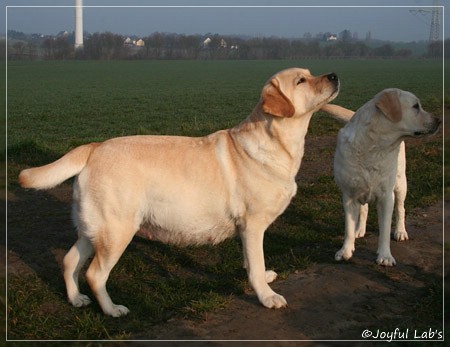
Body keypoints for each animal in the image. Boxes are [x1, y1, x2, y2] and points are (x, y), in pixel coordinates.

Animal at [18, 68, 344, 318]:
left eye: (311, 73)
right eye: (301, 80)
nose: (334, 75)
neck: (279, 143)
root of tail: (94, 147)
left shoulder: (245, 228)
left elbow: (250, 262)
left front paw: (263, 278)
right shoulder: (253, 225)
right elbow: (256, 261)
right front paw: (266, 296)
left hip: (95, 229)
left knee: (69, 261)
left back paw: (76, 299)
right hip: (117, 231)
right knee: (94, 274)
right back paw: (112, 310)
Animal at [332, 89, 442, 266]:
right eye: (416, 106)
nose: (439, 120)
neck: (374, 147)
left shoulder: (386, 197)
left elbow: (384, 229)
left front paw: (385, 256)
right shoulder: (349, 195)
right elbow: (348, 227)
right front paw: (345, 251)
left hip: (401, 184)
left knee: (401, 209)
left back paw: (400, 231)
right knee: (364, 209)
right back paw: (359, 229)